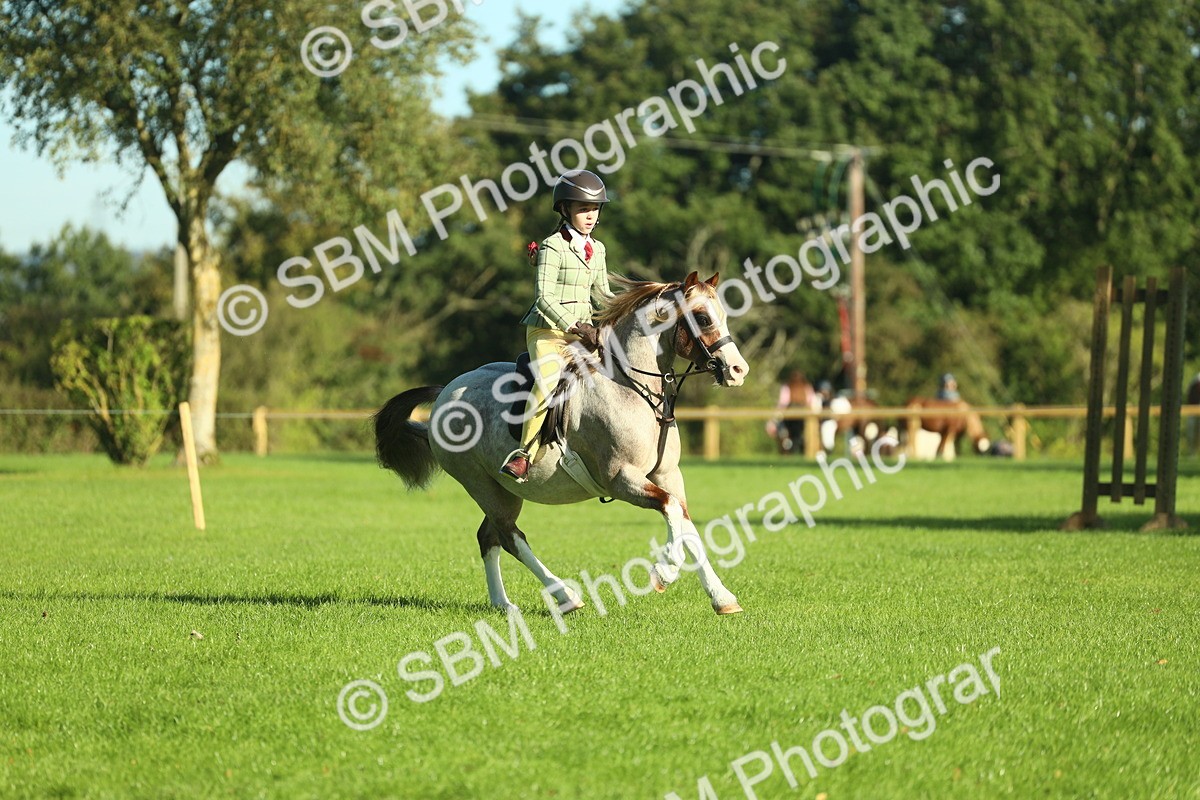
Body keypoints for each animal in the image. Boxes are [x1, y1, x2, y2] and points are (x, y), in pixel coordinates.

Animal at [373, 272, 750, 616]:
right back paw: (566, 596)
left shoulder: (668, 475)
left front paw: (722, 598)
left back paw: (503, 603)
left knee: (489, 537)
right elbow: (671, 510)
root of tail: (445, 392)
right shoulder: (622, 479)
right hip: (482, 485)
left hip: (504, 491)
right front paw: (664, 572)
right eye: (703, 317)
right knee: (510, 537)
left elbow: (687, 526)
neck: (632, 389)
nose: (737, 370)